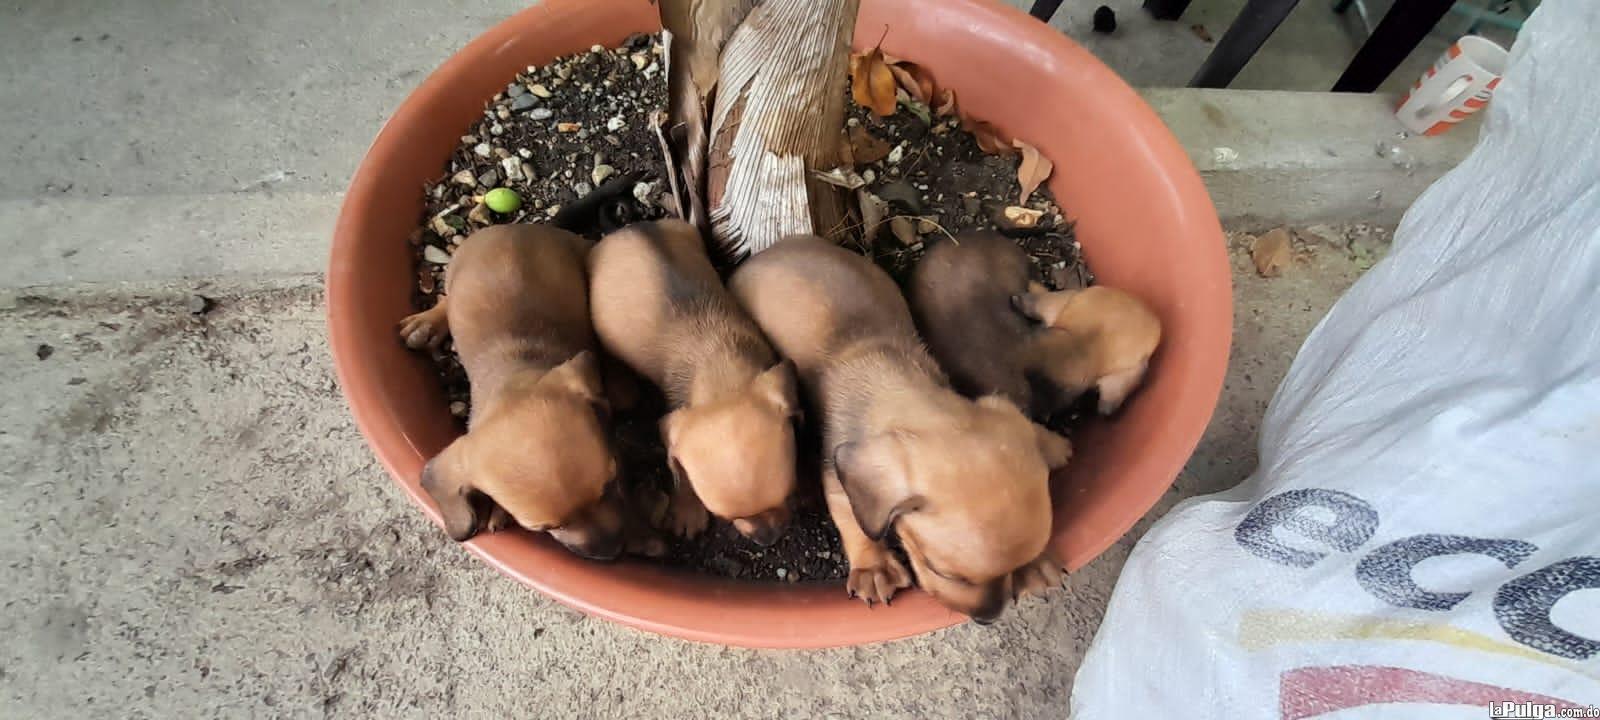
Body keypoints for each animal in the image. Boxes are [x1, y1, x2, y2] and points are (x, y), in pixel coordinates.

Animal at [396, 222, 640, 560]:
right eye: (541, 528)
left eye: (611, 483)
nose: (612, 553)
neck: (516, 373)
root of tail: (512, 226)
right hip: (454, 272)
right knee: (445, 297)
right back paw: (427, 324)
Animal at [588, 219, 800, 547]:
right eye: (723, 516)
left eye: (788, 494)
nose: (767, 539)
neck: (720, 366)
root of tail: (630, 226)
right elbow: (681, 474)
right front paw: (688, 511)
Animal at [732, 238, 1068, 624]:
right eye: (942, 572)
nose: (988, 618)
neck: (892, 380)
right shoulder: (838, 481)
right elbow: (854, 522)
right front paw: (874, 569)